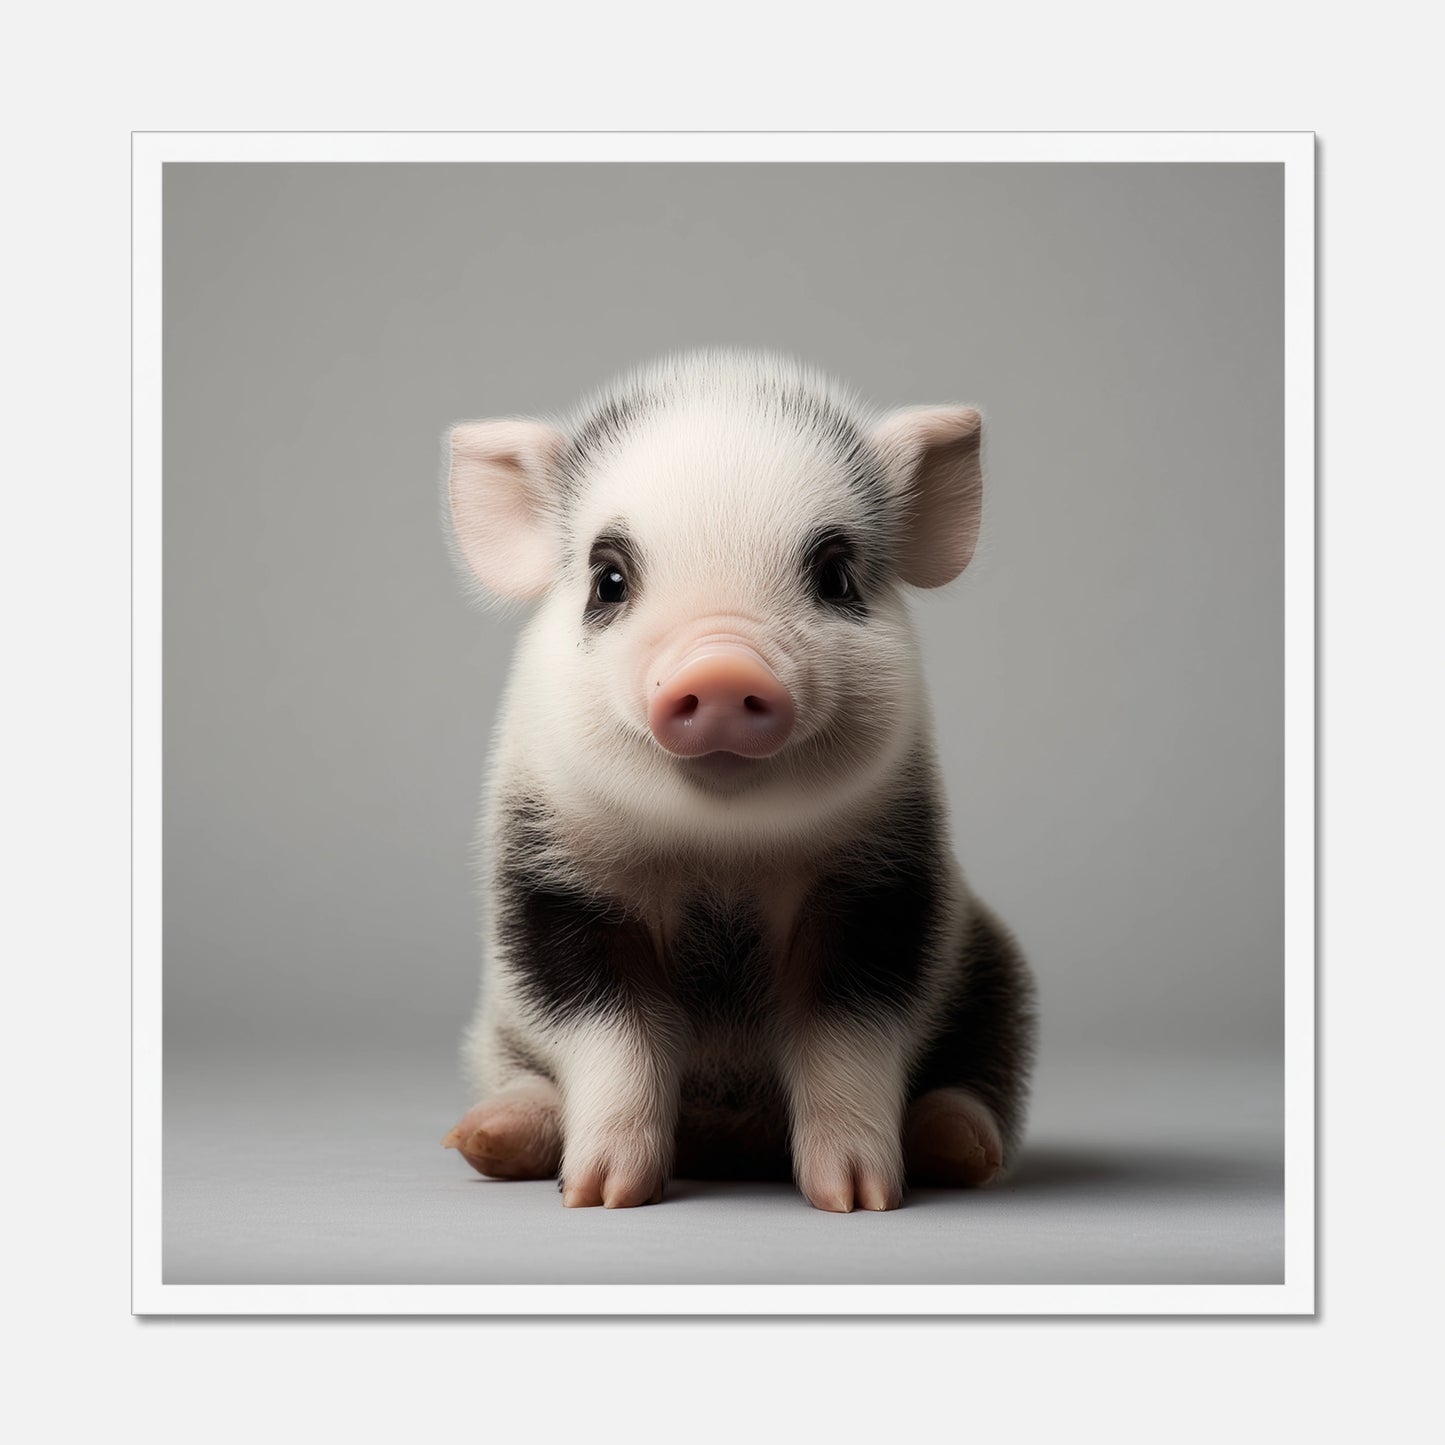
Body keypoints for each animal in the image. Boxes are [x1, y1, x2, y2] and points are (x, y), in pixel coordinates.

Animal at [440, 350, 1035, 1212]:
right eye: (608, 580)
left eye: (835, 575)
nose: (721, 669)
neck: (720, 857)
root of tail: (729, 1142)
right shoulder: (554, 885)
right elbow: (609, 1032)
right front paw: (601, 1195)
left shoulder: (883, 885)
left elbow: (845, 1033)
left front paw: (857, 1197)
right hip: (495, 1029)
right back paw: (486, 1138)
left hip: (997, 976)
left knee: (978, 1079)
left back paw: (952, 1146)